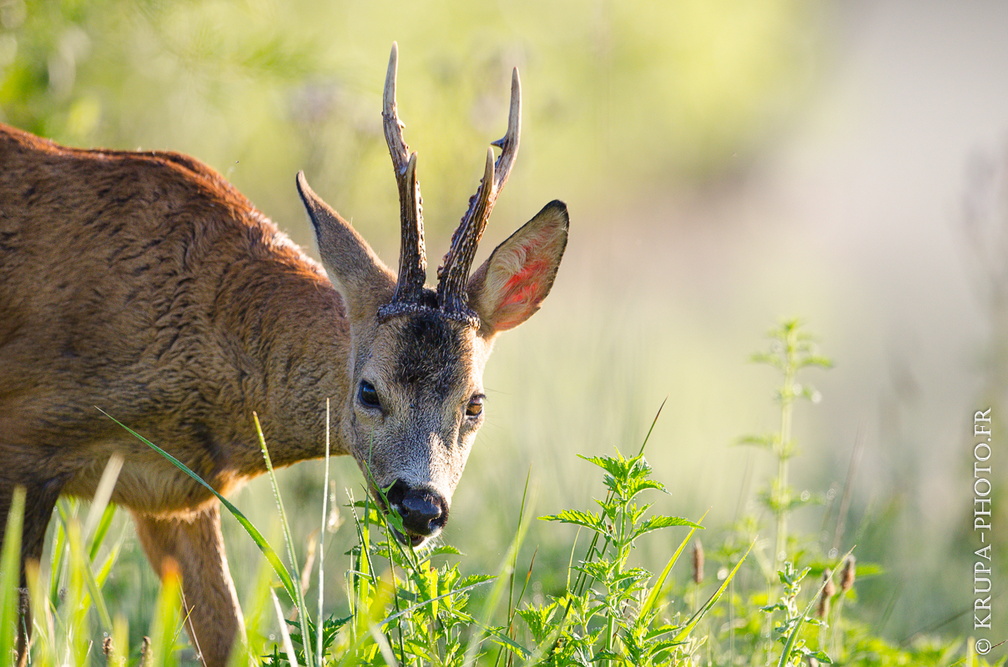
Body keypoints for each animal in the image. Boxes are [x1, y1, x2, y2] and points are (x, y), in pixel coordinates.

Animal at [0, 44, 568, 664]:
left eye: (475, 404)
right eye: (368, 390)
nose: (421, 506)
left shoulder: (173, 496)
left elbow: (227, 637)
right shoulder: (23, 445)